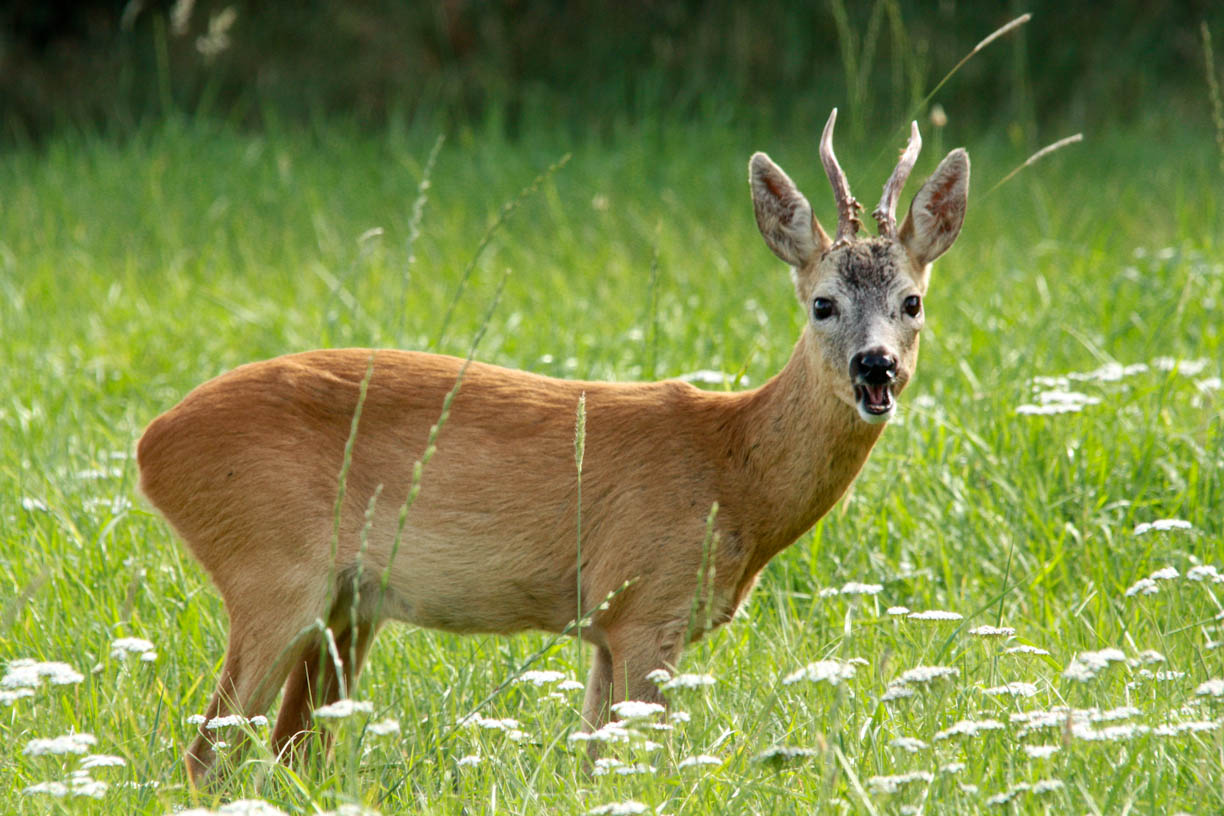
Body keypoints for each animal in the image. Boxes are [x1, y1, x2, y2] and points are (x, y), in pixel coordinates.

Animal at [138, 108, 964, 782]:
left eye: (911, 302)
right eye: (822, 303)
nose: (876, 366)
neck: (733, 469)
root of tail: (152, 447)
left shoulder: (605, 623)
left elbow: (593, 763)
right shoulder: (648, 600)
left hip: (347, 604)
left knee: (292, 749)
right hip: (272, 570)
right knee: (207, 755)